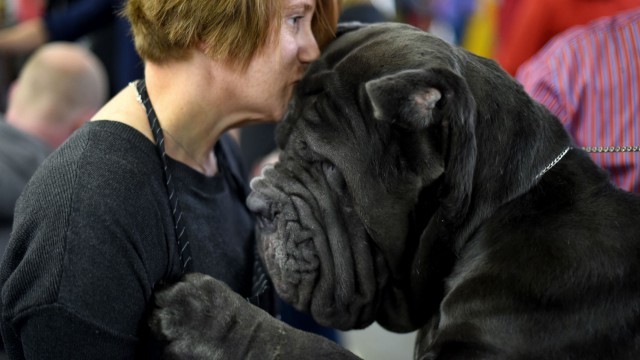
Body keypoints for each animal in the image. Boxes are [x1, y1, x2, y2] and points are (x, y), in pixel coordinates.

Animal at [151, 23, 640, 358]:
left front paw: (207, 314)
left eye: (329, 167)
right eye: (281, 140)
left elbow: (307, 345)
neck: (497, 213)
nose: (257, 204)